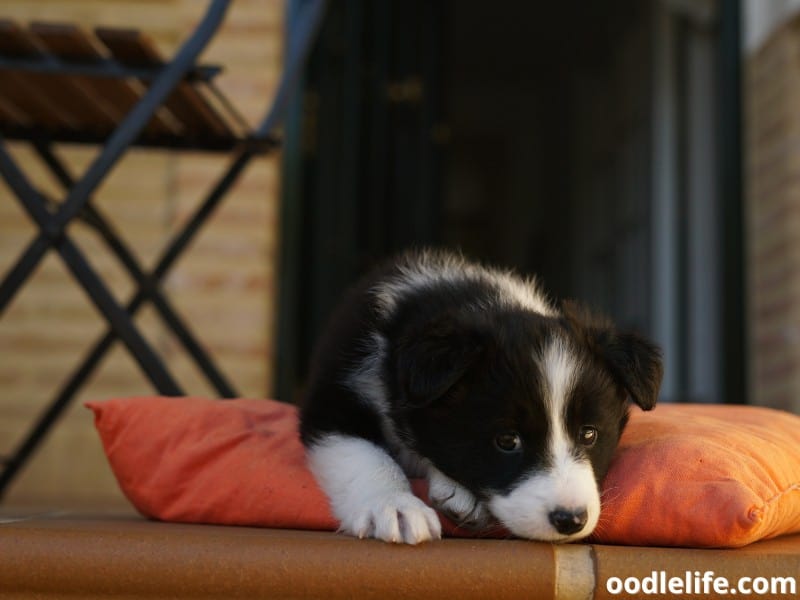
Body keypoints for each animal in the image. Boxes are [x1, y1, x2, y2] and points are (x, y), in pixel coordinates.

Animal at [300, 248, 664, 544]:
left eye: (589, 434)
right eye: (507, 441)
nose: (570, 519)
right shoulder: (332, 398)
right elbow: (363, 455)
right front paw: (394, 507)